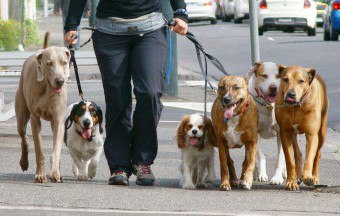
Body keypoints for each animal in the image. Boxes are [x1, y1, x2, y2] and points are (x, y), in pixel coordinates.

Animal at [15, 32, 70, 182]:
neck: (47, 87)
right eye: (49, 63)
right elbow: (39, 150)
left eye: (64, 62)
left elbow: (56, 149)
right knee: (24, 138)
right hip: (21, 115)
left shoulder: (58, 119)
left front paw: (55, 172)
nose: (60, 81)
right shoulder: (35, 119)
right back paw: (24, 162)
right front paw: (40, 174)